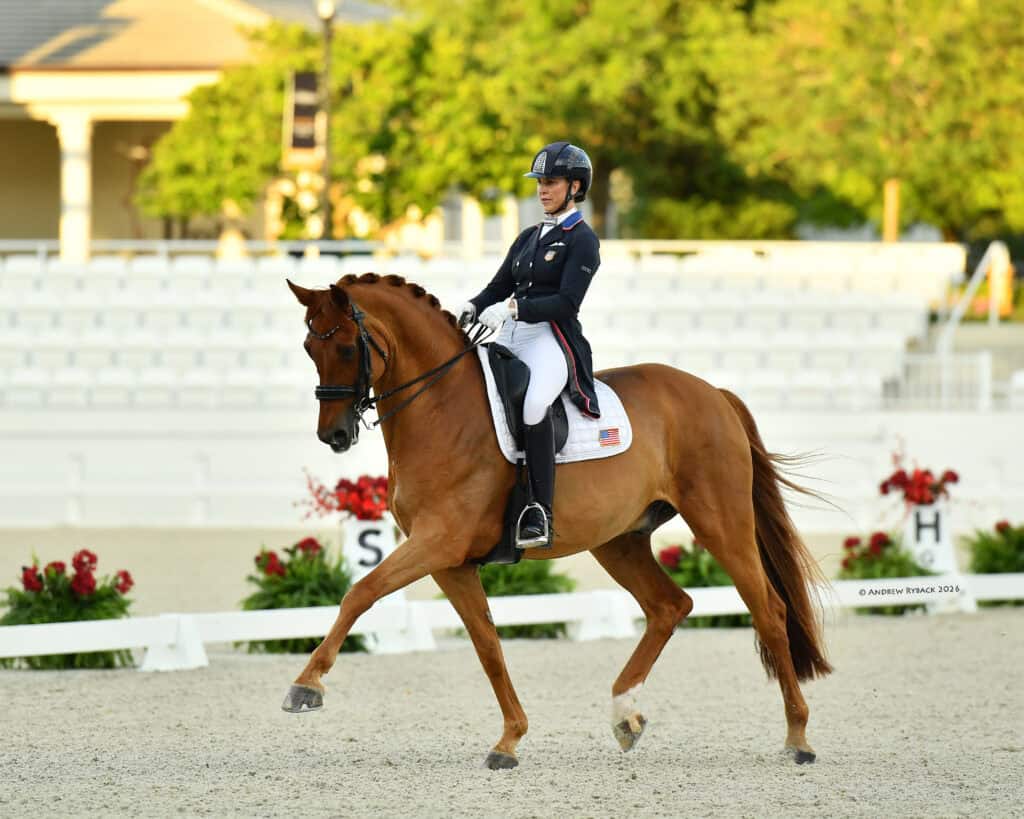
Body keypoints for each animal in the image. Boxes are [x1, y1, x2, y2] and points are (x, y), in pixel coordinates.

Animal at [282, 272, 832, 769]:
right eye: (309, 347)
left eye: (348, 349)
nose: (334, 435)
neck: (440, 409)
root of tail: (714, 393)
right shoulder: (449, 561)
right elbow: (487, 645)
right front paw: (509, 740)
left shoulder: (438, 541)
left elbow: (361, 592)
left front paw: (306, 686)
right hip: (618, 540)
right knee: (669, 606)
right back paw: (625, 715)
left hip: (721, 523)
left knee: (769, 611)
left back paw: (798, 738)